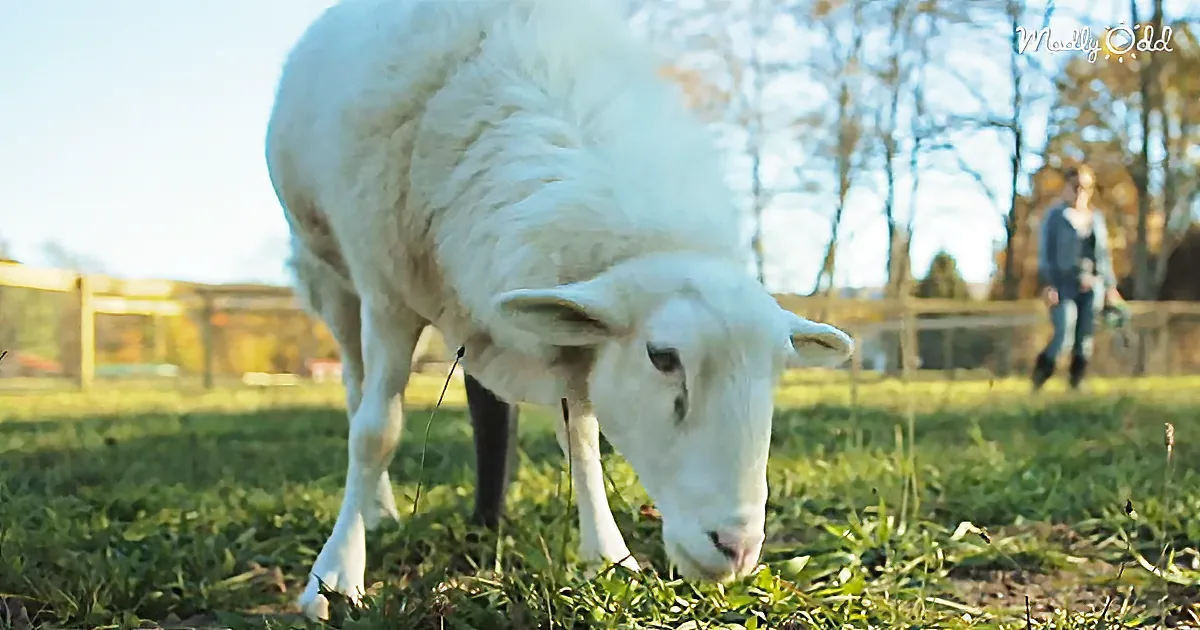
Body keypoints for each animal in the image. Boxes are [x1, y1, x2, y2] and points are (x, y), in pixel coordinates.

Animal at [264, 0, 855, 620]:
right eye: (663, 356)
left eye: (779, 369)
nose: (736, 548)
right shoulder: (387, 295)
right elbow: (376, 433)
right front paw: (333, 578)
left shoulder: (579, 344)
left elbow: (583, 442)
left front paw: (610, 557)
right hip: (330, 273)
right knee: (358, 391)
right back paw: (377, 511)